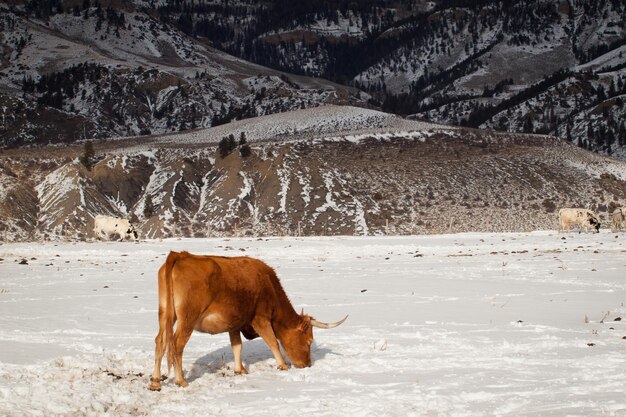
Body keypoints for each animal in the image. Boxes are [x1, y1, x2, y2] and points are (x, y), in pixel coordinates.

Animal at [149, 250, 348, 390]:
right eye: (309, 341)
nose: (307, 365)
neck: (268, 284)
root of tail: (180, 255)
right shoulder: (260, 319)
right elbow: (273, 342)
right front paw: (283, 366)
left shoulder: (234, 324)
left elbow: (237, 346)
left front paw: (240, 370)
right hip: (187, 319)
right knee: (176, 344)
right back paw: (180, 380)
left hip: (165, 314)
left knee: (160, 341)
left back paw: (156, 382)